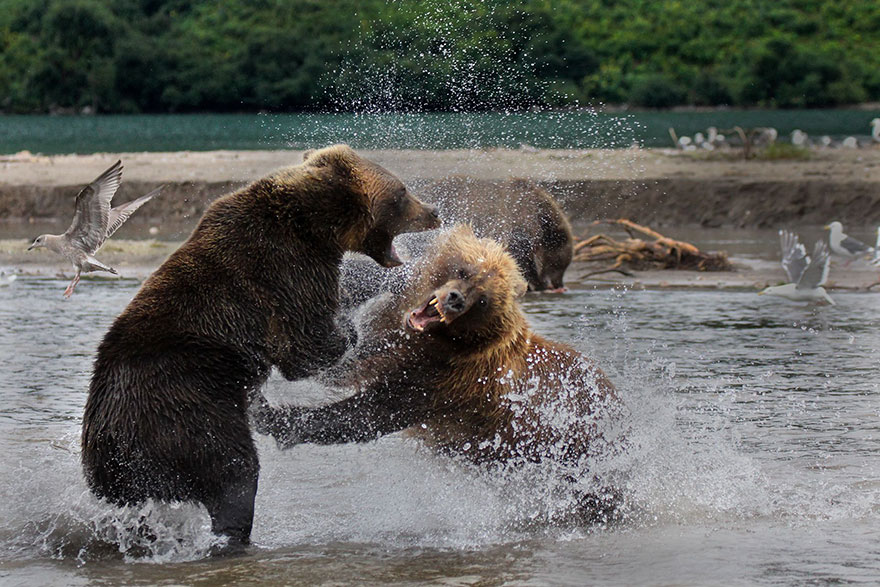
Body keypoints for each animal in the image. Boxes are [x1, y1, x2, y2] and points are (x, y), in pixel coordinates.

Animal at [81, 145, 440, 548]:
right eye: (402, 193)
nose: (433, 212)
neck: (315, 223)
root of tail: (107, 438)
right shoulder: (284, 271)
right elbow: (307, 346)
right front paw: (351, 325)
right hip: (186, 408)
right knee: (234, 471)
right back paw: (236, 532)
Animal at [254, 226, 624, 524]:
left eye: (483, 300)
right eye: (465, 270)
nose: (455, 299)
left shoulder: (443, 380)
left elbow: (365, 413)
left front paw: (271, 414)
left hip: (574, 449)